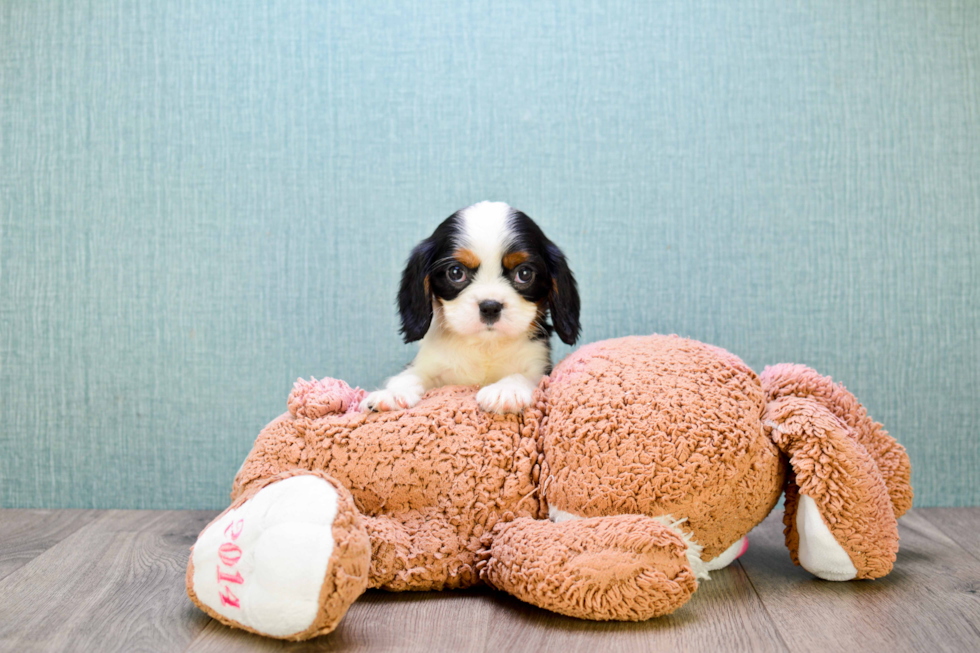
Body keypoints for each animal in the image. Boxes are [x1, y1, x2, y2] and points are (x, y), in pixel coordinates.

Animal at [360, 199, 580, 412]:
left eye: (524, 273)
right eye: (456, 272)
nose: (490, 306)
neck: (484, 346)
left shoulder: (539, 366)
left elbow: (523, 375)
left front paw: (506, 390)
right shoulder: (430, 365)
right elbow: (410, 375)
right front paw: (391, 394)